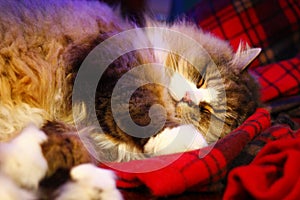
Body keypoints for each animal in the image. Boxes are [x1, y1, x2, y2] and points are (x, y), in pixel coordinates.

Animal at [0, 0, 260, 198]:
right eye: (200, 80)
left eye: (206, 111)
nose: (188, 98)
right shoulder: (112, 67)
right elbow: (140, 106)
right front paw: (187, 139)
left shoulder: (80, 130)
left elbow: (63, 145)